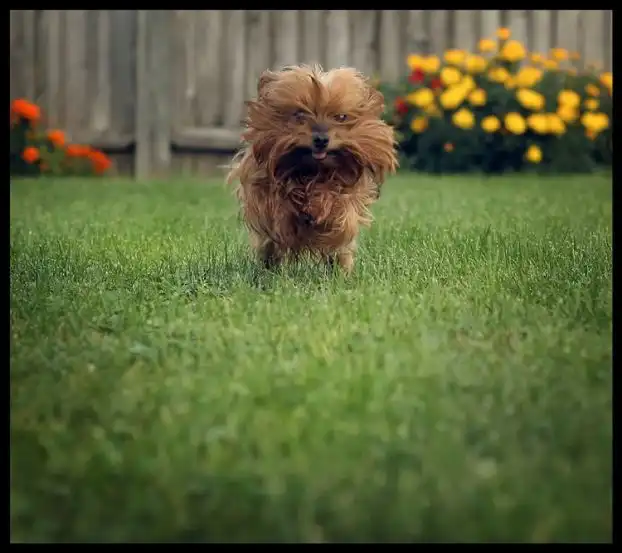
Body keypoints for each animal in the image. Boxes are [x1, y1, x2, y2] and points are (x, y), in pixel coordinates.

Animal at [226, 64, 398, 274]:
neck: (313, 171)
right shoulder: (262, 190)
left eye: (341, 117)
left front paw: (322, 206)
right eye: (299, 115)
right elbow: (278, 210)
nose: (321, 139)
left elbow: (341, 212)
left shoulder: (348, 194)